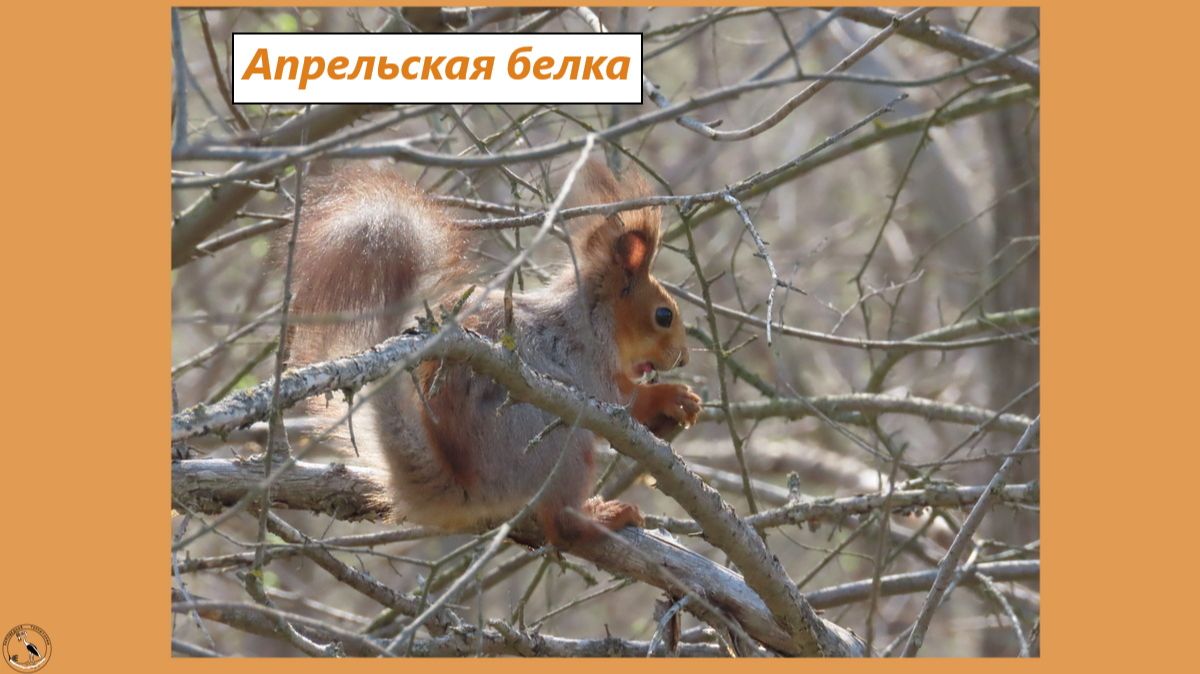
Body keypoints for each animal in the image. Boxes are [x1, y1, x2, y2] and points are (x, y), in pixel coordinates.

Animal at [286, 161, 701, 548]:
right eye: (663, 315)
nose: (683, 359)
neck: (592, 321)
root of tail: (475, 488)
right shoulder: (587, 365)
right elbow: (624, 402)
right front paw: (671, 397)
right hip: (558, 448)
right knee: (562, 526)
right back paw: (603, 517)